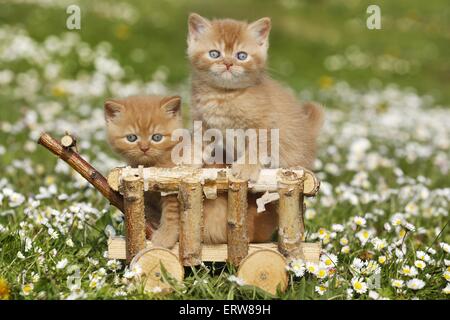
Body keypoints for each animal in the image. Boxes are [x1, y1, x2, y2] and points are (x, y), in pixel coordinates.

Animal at [188, 13, 326, 181]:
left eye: (241, 56)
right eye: (214, 54)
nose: (228, 64)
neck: (223, 95)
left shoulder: (264, 124)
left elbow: (257, 146)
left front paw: (246, 167)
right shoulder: (202, 122)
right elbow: (198, 142)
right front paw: (188, 161)